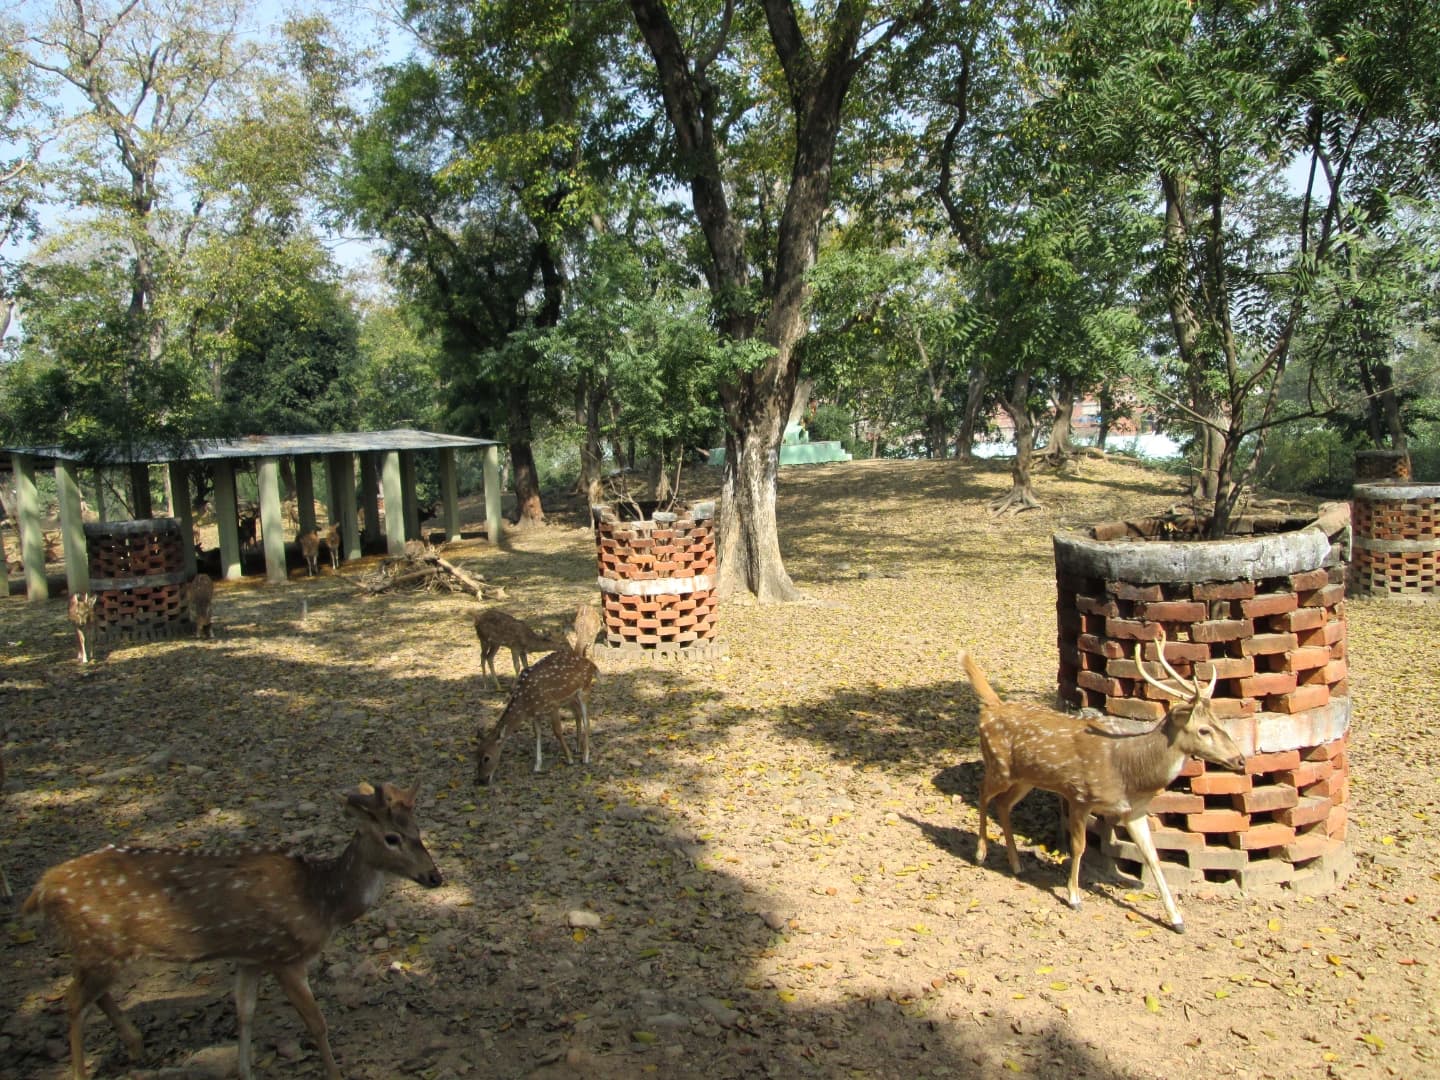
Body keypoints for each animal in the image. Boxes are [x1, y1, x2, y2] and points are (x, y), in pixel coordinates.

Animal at [23, 781, 442, 1080]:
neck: (322, 902)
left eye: (419, 830)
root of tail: (41, 888)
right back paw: (84, 1071)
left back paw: (136, 1046)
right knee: (73, 1001)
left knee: (91, 996)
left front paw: (245, 1072)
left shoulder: (251, 957)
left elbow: (245, 1013)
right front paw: (336, 1074)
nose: (435, 876)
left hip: (100, 950)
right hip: (99, 945)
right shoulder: (286, 955)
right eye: (391, 837)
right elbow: (317, 1024)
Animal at [476, 604, 603, 785]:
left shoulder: (552, 704)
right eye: (476, 755)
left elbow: (557, 731)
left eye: (486, 757)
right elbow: (537, 734)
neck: (525, 700)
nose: (481, 779)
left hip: (583, 690)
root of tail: (592, 666)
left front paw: (570, 759)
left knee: (587, 720)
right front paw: (537, 765)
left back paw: (585, 756)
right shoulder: (535, 713)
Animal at [962, 626, 1246, 933]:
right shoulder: (1079, 794)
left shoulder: (1134, 810)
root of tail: (992, 707)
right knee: (982, 792)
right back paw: (980, 853)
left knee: (1003, 804)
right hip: (999, 766)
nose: (1240, 760)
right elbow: (1079, 847)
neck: (1131, 773)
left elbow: (1152, 855)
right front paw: (1074, 897)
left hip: (1026, 778)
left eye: (1221, 722)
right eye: (1204, 730)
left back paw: (1016, 864)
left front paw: (1177, 919)